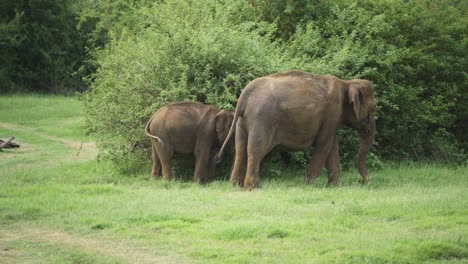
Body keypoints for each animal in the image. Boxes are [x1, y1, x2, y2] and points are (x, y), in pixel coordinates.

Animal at [216, 70, 376, 189]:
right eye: (372, 110)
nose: (365, 181)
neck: (346, 83)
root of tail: (245, 93)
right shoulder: (332, 112)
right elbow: (324, 145)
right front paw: (308, 185)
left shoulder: (332, 119)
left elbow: (332, 147)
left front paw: (335, 187)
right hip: (262, 119)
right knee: (256, 150)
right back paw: (253, 188)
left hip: (242, 122)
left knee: (240, 149)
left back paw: (235, 186)